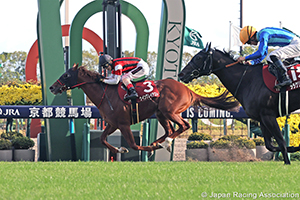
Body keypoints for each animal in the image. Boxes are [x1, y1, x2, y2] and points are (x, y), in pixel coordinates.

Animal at [49, 64, 239, 156]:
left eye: (66, 75)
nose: (52, 87)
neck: (105, 94)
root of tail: (188, 90)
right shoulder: (112, 124)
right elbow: (102, 139)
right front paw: (119, 150)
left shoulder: (123, 124)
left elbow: (134, 144)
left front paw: (144, 149)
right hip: (161, 113)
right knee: (170, 130)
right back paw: (160, 142)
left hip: (169, 111)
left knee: (184, 126)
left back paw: (164, 143)